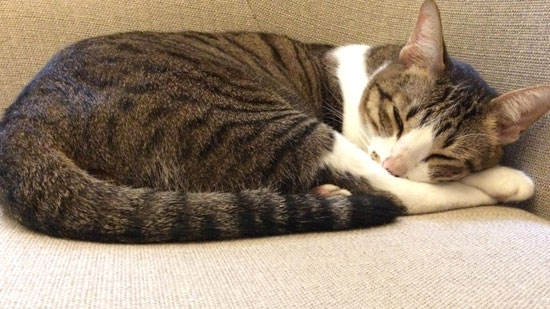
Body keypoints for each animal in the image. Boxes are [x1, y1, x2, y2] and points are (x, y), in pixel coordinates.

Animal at [0, 0, 548, 242]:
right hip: (251, 117)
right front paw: (500, 177)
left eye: (442, 153)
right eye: (395, 116)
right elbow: (413, 187)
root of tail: (25, 116)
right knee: (395, 194)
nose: (395, 160)